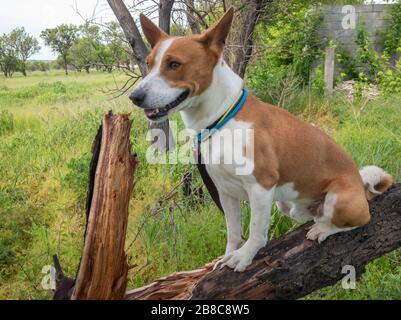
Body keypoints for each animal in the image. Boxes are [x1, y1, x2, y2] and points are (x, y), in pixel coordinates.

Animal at [130, 7, 392, 272]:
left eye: (174, 64)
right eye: (148, 64)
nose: (135, 97)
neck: (221, 119)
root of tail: (360, 184)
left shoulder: (260, 187)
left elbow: (256, 232)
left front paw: (244, 257)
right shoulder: (225, 192)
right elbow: (233, 232)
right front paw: (228, 255)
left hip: (339, 199)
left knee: (357, 220)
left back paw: (324, 230)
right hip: (288, 206)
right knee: (312, 216)